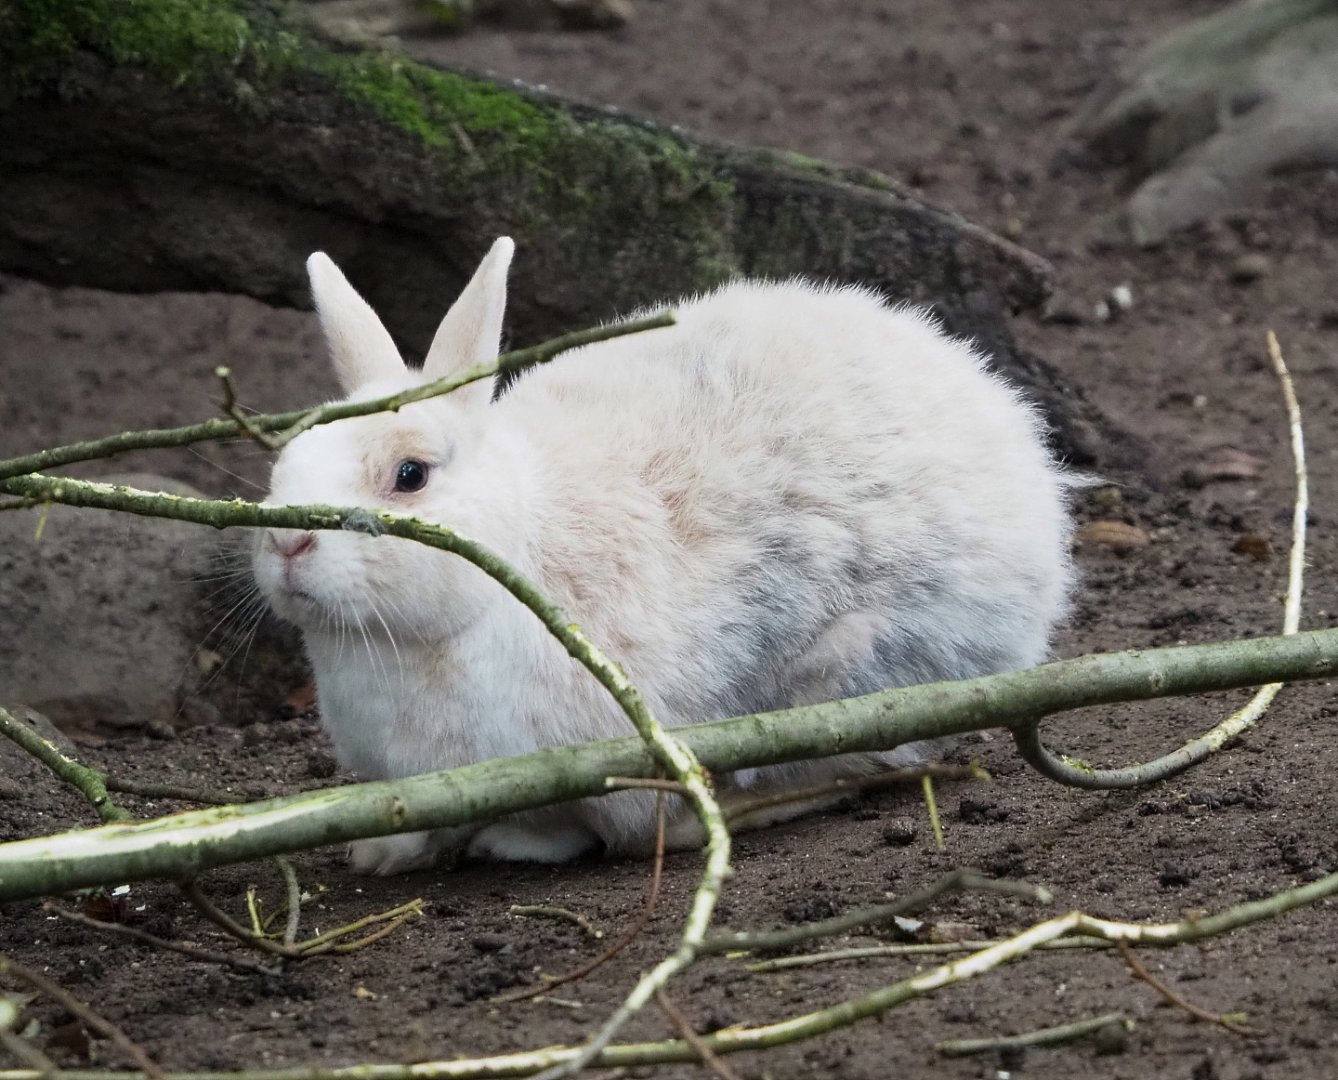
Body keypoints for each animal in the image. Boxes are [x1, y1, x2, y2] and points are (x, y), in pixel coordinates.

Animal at [252, 236, 1076, 875]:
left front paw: (510, 845)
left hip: (858, 668)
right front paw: (383, 855)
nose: (288, 543)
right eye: (285, 459)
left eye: (410, 475)